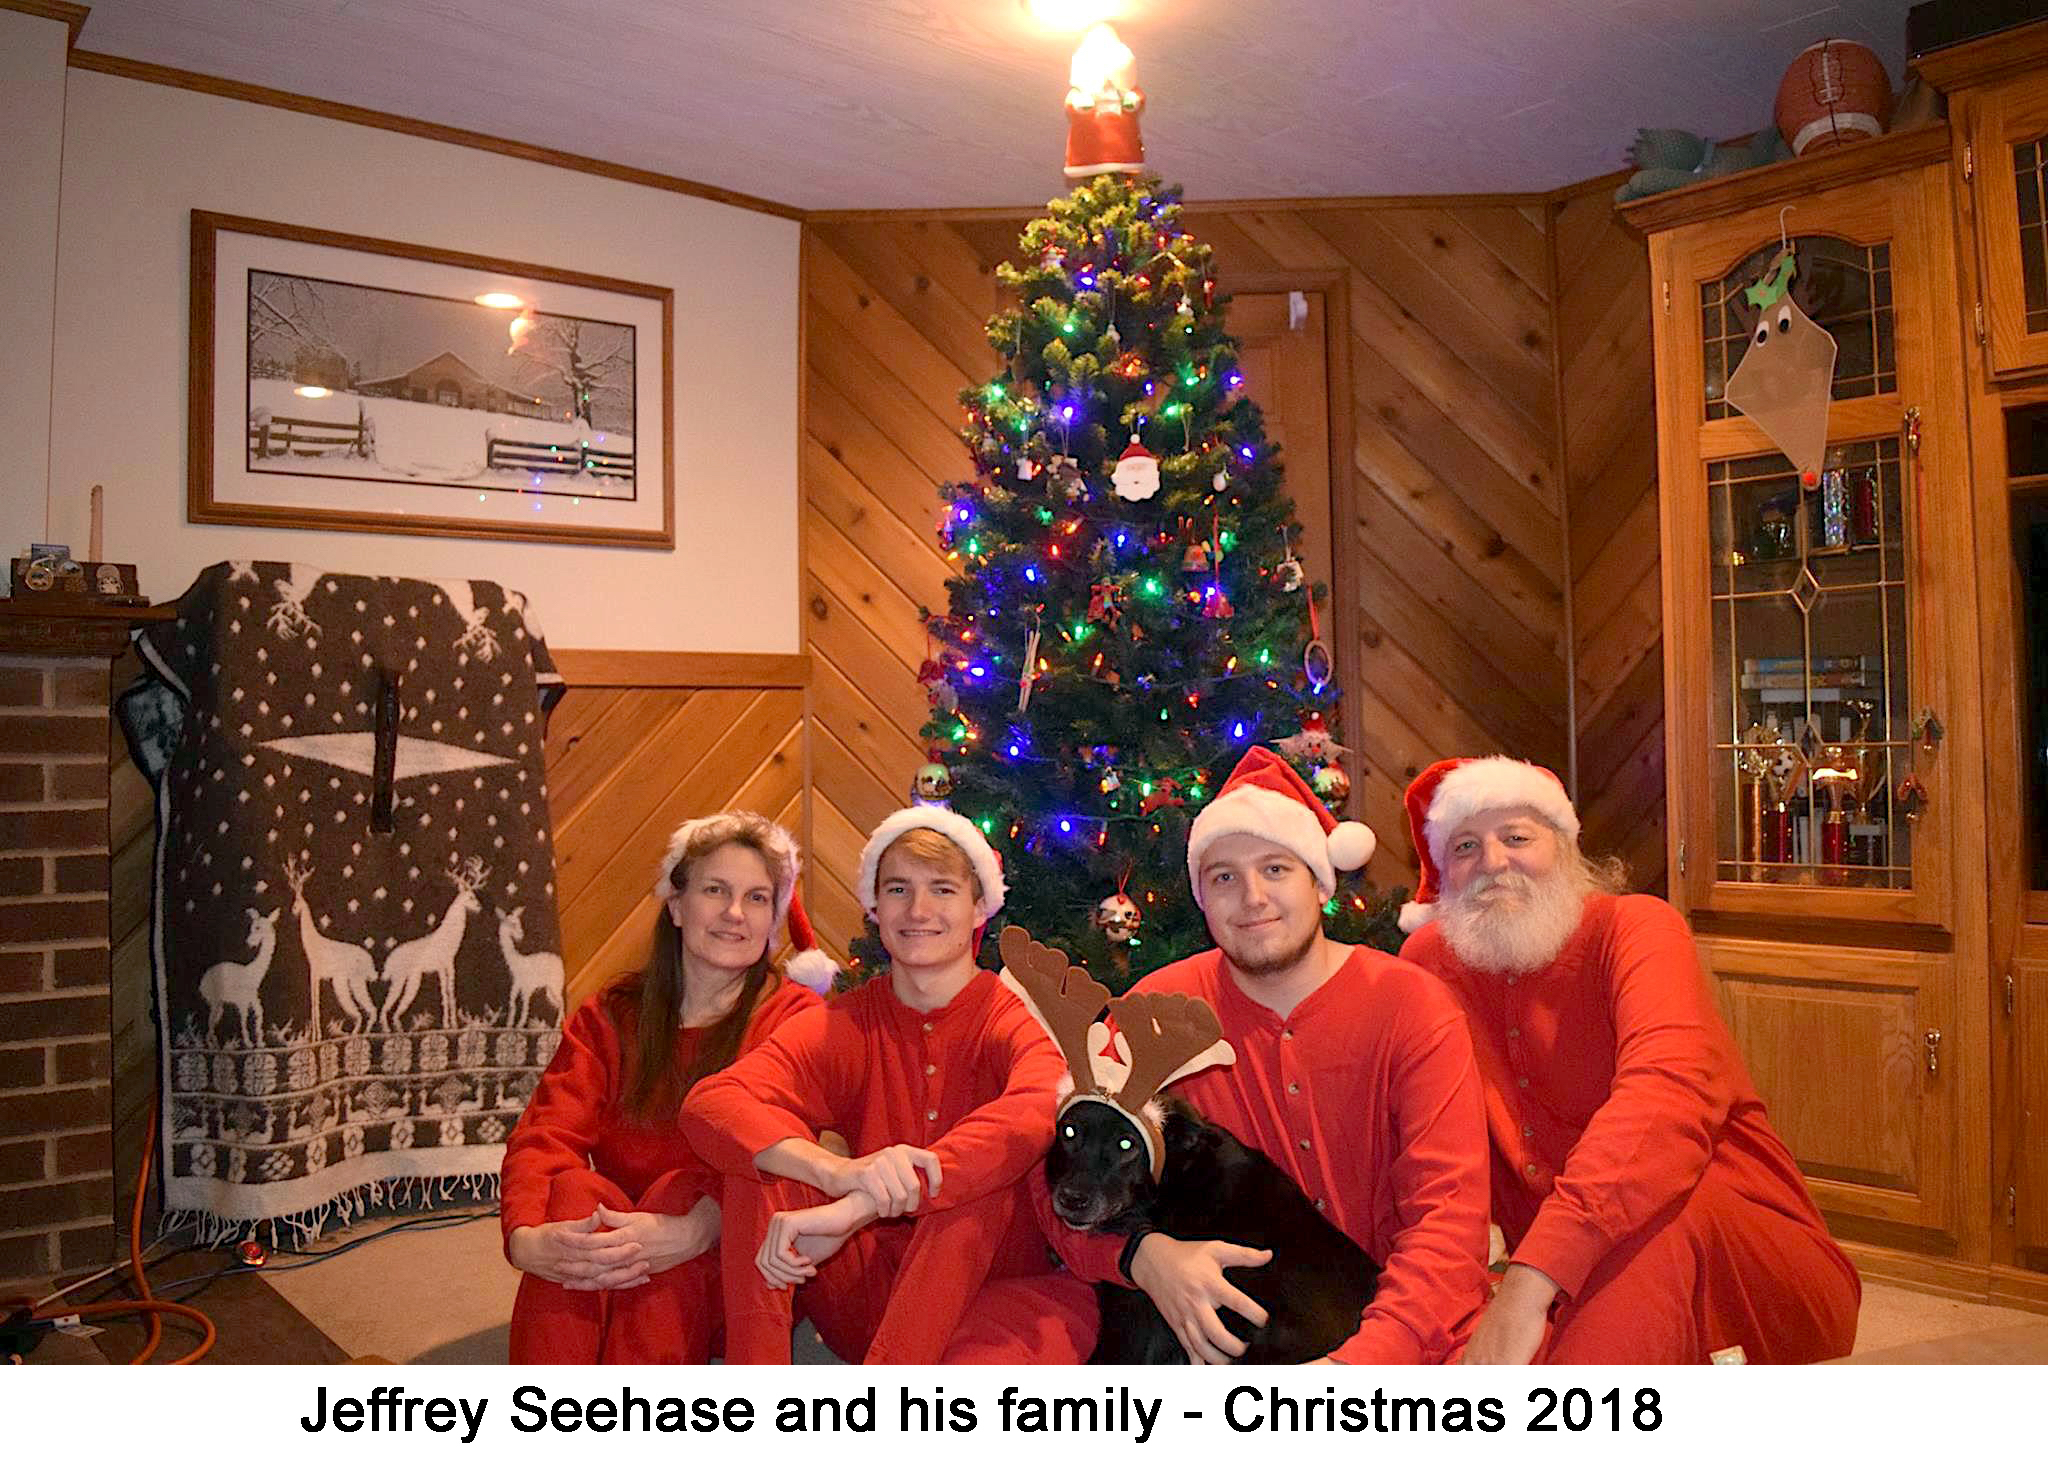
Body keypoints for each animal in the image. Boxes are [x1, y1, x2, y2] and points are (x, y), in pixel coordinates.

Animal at [199, 909, 282, 1048]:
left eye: (258, 927)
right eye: (252, 927)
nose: (249, 942)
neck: (252, 974)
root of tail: (202, 982)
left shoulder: (254, 999)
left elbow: (259, 1015)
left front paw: (260, 1043)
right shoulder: (241, 1001)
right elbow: (243, 1020)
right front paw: (249, 1043)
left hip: (219, 1003)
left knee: (212, 1022)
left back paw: (215, 1045)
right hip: (214, 1000)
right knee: (210, 1022)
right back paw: (211, 1045)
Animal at [284, 852, 380, 1036]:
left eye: (298, 900)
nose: (292, 911)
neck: (313, 943)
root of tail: (370, 962)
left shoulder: (315, 972)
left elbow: (315, 1004)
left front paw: (316, 1037)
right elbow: (315, 1003)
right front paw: (316, 1036)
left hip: (348, 980)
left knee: (363, 1011)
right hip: (352, 981)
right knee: (369, 1009)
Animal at [380, 860, 487, 1032]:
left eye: (475, 895)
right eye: (470, 897)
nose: (479, 907)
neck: (448, 937)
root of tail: (389, 961)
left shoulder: (448, 965)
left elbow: (449, 991)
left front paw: (451, 1024)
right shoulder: (444, 965)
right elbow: (446, 991)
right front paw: (449, 1024)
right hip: (401, 978)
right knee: (389, 1005)